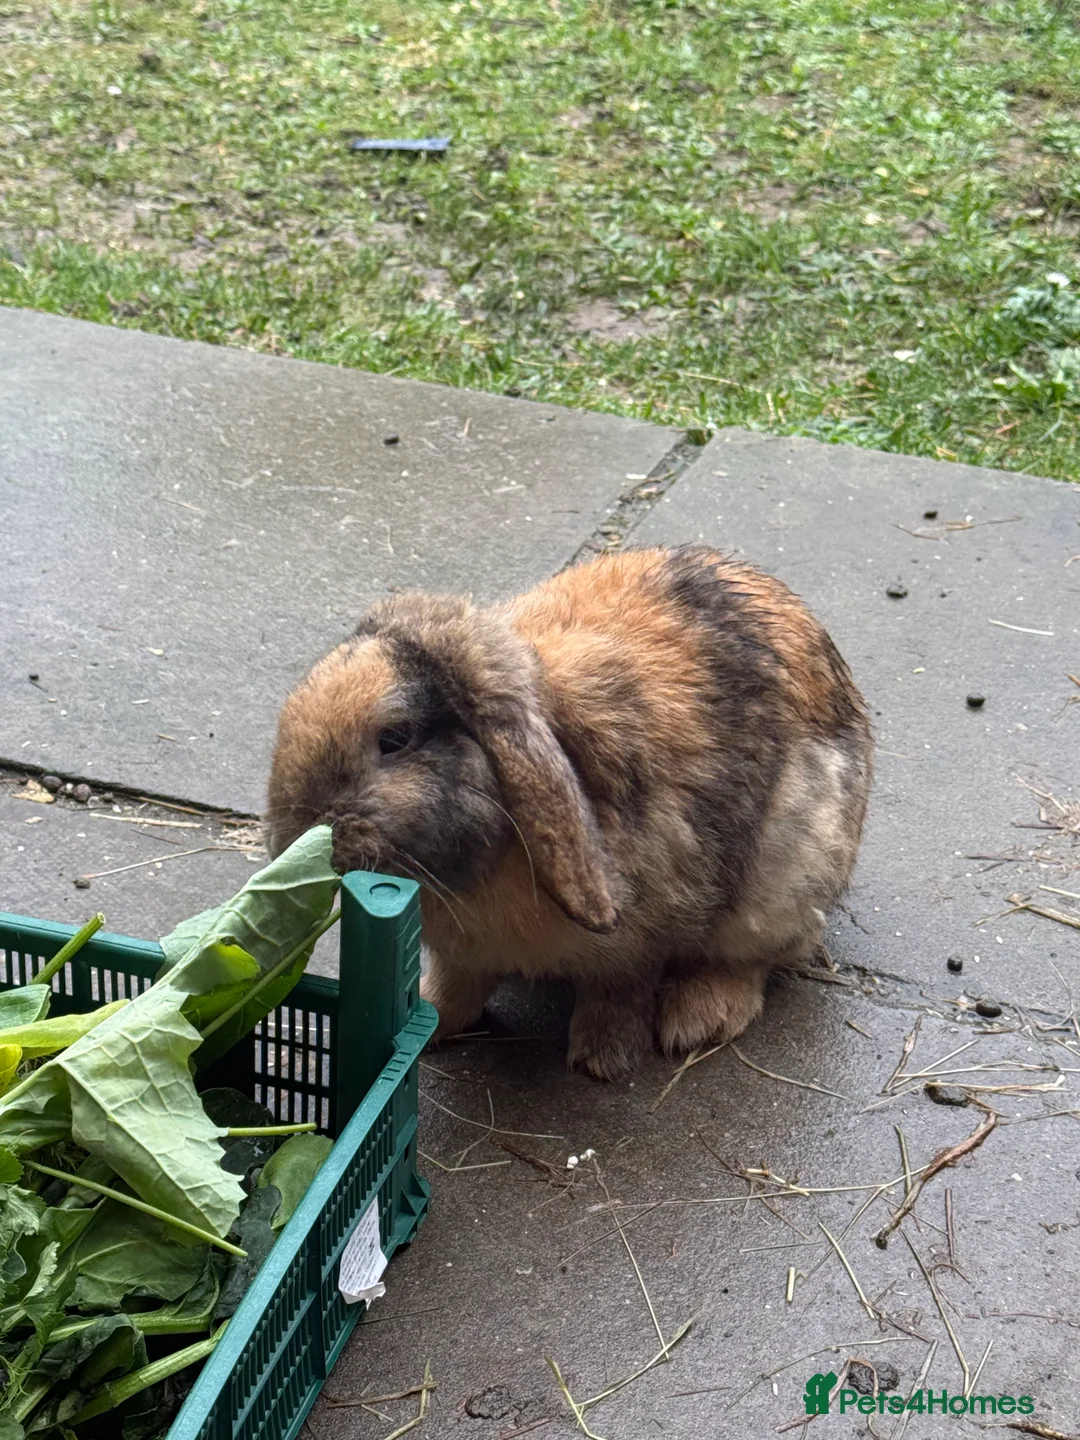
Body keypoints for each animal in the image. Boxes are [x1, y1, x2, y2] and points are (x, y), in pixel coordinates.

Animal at [266, 544, 872, 1080]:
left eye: (394, 739)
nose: (295, 833)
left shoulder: (637, 940)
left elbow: (618, 989)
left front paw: (600, 1060)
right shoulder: (463, 957)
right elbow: (456, 986)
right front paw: (429, 1022)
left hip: (784, 883)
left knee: (755, 957)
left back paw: (699, 1021)